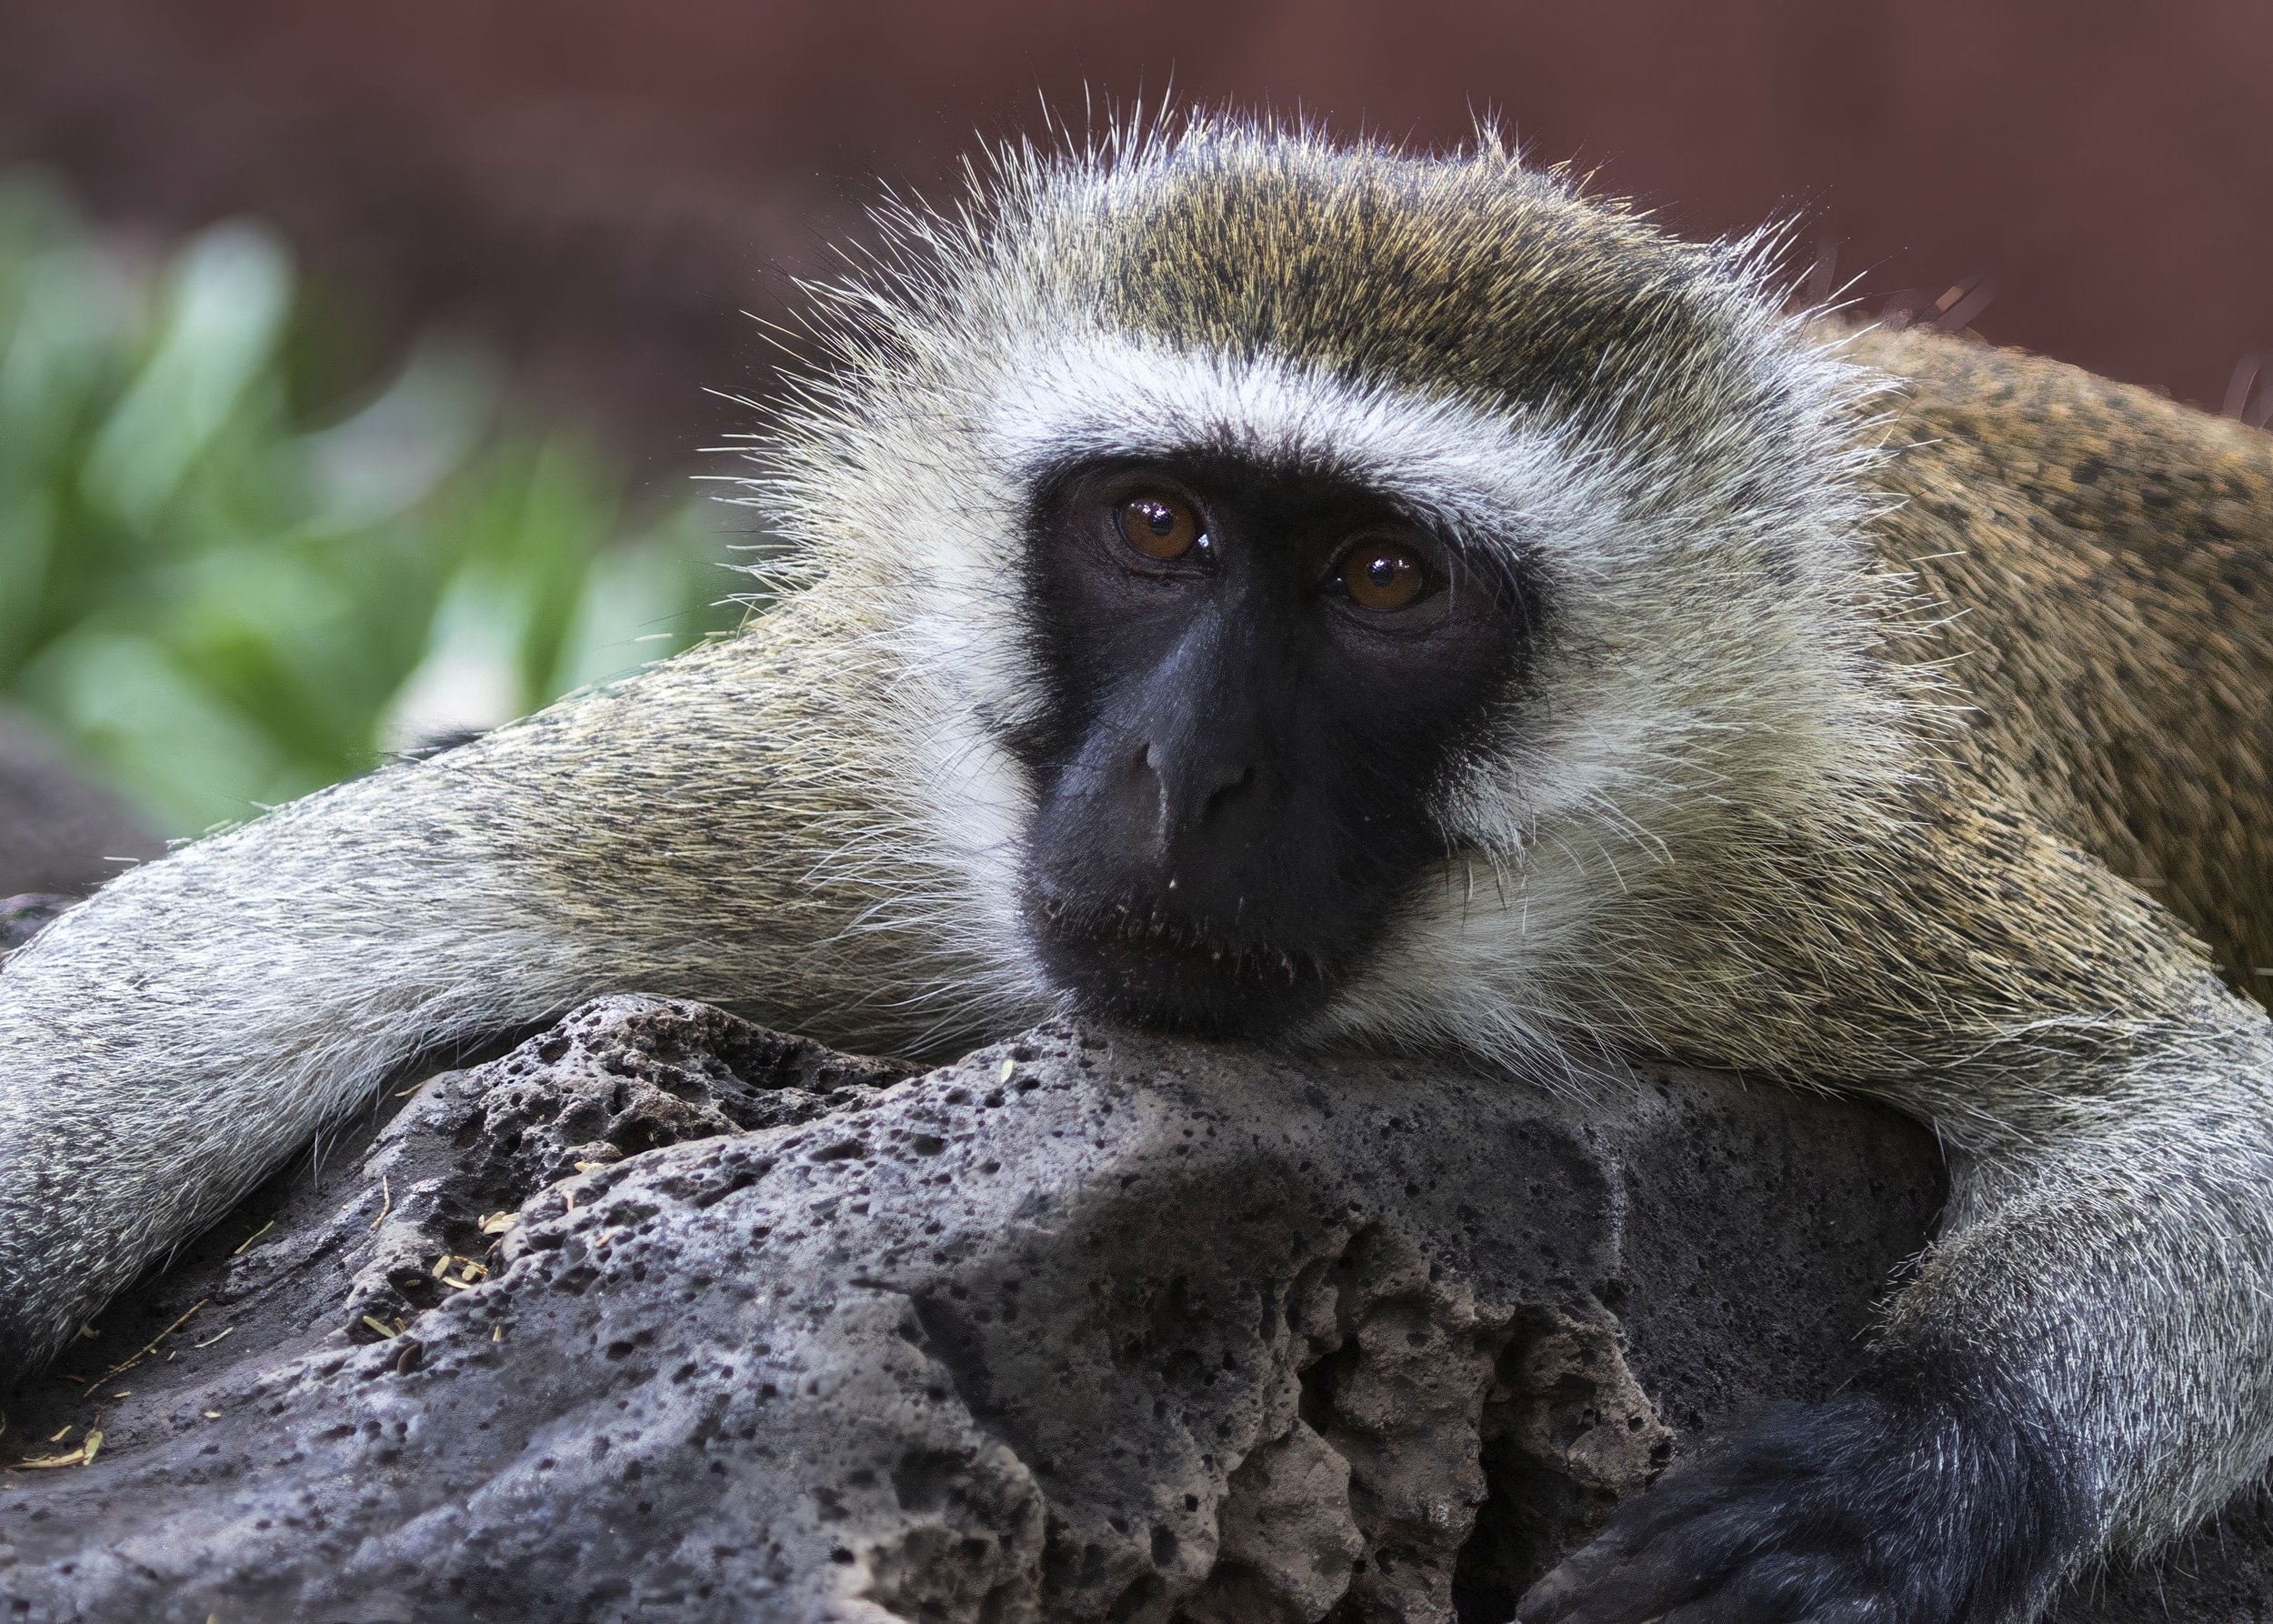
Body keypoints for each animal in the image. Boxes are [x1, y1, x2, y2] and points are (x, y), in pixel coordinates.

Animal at [1, 115, 2270, 1624]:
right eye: (1157, 528)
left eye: (1382, 581)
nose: (1186, 774)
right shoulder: (818, 775)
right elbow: (248, 944)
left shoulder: (1780, 849)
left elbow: (2178, 1090)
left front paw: (1903, 1478)